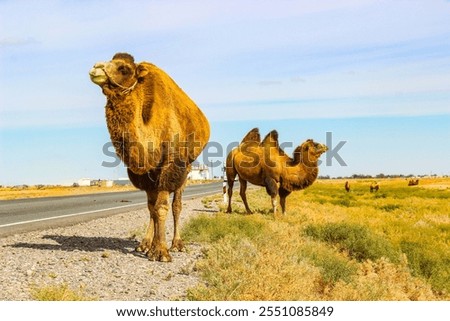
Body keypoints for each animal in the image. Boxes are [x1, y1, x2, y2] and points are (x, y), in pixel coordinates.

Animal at [90, 53, 212, 260]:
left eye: (124, 68)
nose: (95, 68)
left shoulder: (170, 164)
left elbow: (162, 207)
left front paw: (161, 251)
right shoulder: (145, 173)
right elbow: (152, 208)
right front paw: (150, 246)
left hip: (186, 167)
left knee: (176, 204)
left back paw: (177, 244)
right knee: (152, 207)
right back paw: (145, 244)